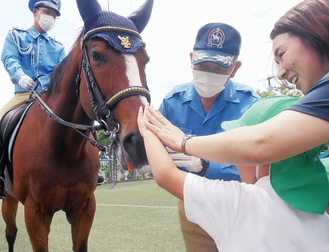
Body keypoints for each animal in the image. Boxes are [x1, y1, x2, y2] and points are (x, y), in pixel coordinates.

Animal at [0, 0, 154, 251]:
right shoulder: (35, 213)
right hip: (9, 196)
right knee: (10, 233)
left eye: (145, 59)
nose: (140, 141)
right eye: (96, 55)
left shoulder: (84, 208)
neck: (65, 147)